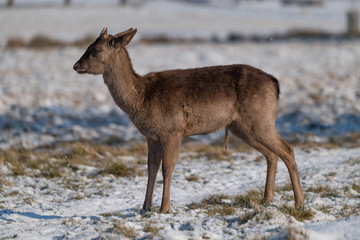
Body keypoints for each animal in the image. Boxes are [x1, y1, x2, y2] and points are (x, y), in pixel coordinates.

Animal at [74, 27, 304, 213]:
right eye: (88, 46)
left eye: (96, 51)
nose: (76, 65)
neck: (141, 99)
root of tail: (275, 84)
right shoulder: (152, 136)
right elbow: (151, 168)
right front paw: (145, 208)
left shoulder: (173, 131)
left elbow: (167, 168)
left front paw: (164, 208)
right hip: (242, 127)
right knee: (271, 154)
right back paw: (267, 199)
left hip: (261, 119)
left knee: (287, 149)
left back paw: (299, 202)